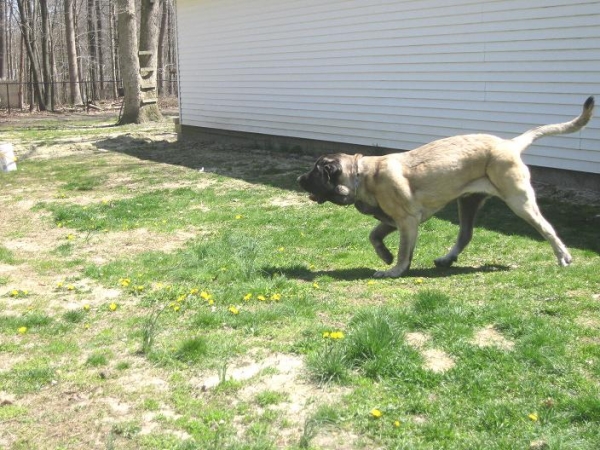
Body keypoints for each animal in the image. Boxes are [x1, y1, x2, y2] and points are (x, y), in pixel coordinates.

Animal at [298, 96, 592, 276]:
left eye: (317, 171)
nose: (299, 179)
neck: (363, 175)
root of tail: (511, 144)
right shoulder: (394, 220)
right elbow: (374, 235)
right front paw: (385, 256)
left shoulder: (407, 221)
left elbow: (403, 251)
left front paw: (394, 270)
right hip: (468, 202)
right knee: (466, 234)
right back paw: (447, 259)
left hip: (519, 201)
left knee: (547, 228)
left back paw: (563, 257)